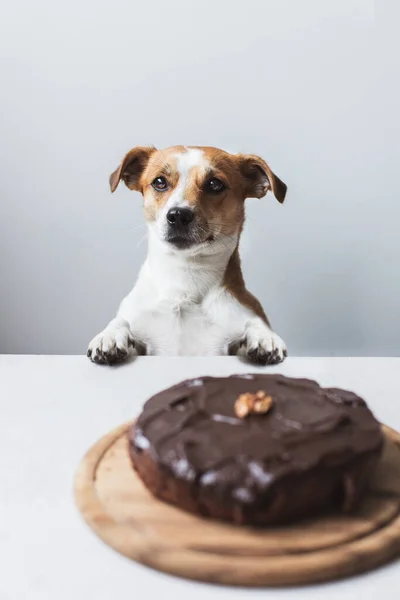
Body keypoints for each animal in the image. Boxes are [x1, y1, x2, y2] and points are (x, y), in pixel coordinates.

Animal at [87, 146, 288, 366]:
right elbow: (121, 321)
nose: (178, 215)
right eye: (159, 182)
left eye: (214, 184)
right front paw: (109, 335)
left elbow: (253, 323)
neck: (186, 278)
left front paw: (264, 336)